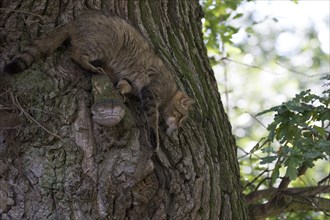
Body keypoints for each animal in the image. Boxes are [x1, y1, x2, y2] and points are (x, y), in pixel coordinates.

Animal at [3, 10, 193, 150]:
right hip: (104, 43)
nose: (178, 127)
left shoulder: (133, 81)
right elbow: (152, 116)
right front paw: (155, 136)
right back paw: (90, 66)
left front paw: (122, 89)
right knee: (75, 54)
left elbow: (125, 82)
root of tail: (78, 20)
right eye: (181, 116)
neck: (170, 92)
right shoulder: (152, 91)